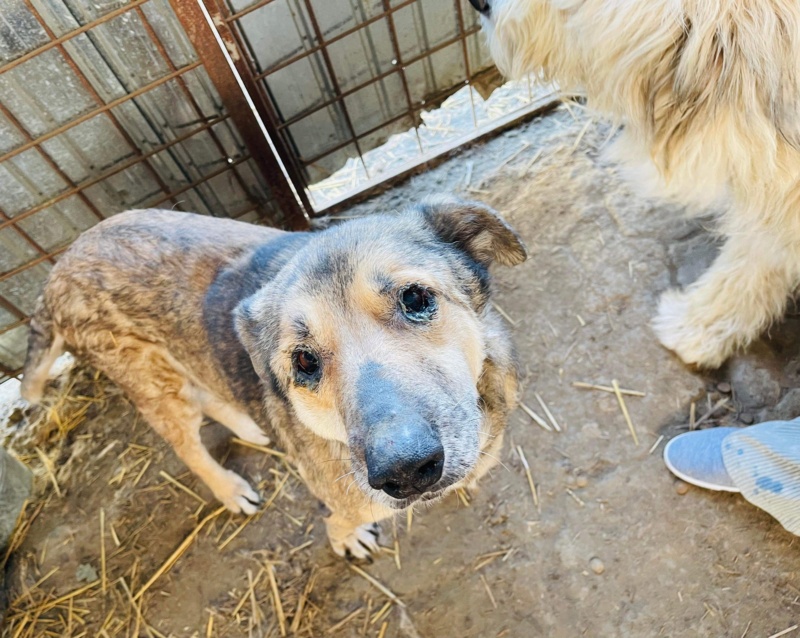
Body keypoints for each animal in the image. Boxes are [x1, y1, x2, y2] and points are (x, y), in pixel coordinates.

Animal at [20, 201, 524, 560]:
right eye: (304, 362)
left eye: (416, 298)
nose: (402, 470)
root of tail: (56, 271)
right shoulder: (346, 502)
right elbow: (338, 523)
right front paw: (346, 541)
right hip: (155, 386)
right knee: (188, 446)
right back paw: (230, 489)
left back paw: (250, 426)